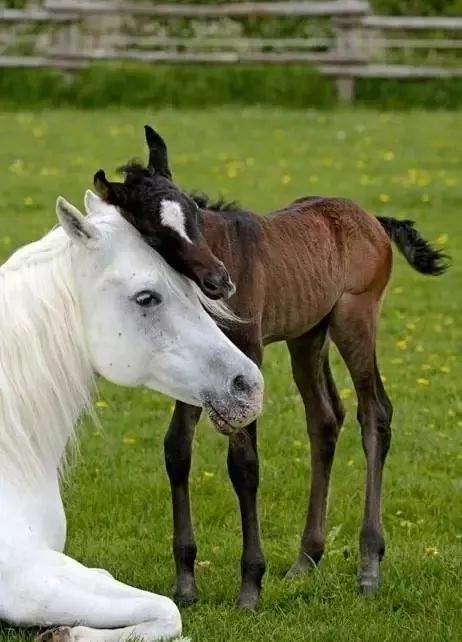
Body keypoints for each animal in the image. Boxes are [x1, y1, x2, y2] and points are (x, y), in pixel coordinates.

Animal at [0, 191, 264, 640]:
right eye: (146, 297)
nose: (248, 385)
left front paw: (65, 631)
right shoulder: (25, 578)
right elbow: (168, 611)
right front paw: (68, 633)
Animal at [96, 127, 448, 608]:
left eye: (193, 213)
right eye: (153, 232)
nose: (220, 282)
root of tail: (371, 219)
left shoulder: (248, 352)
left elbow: (243, 462)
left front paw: (250, 586)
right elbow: (176, 450)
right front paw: (185, 582)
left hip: (355, 318)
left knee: (374, 413)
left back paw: (368, 568)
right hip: (308, 335)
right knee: (325, 418)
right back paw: (306, 559)